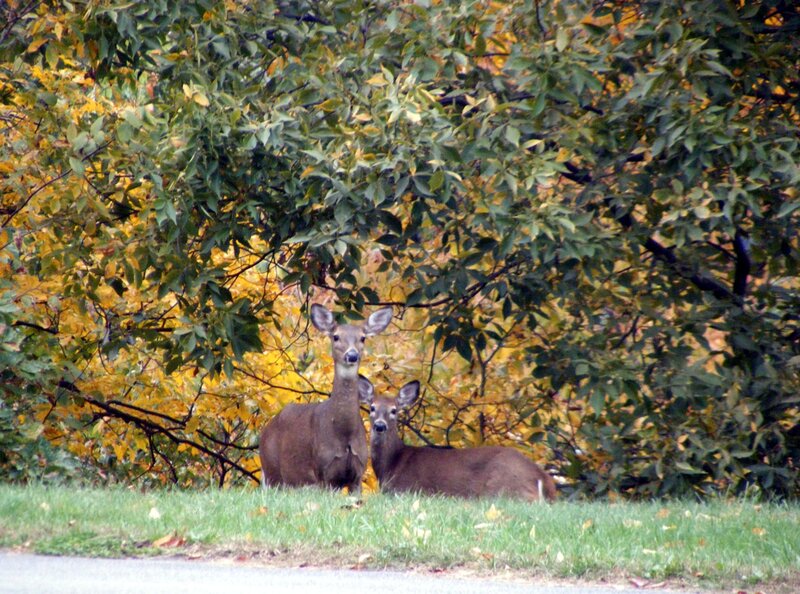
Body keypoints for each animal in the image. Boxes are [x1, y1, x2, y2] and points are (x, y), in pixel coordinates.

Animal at [258, 303, 392, 495]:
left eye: (363, 338)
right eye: (336, 336)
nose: (352, 355)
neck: (343, 432)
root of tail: (265, 431)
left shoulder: (358, 473)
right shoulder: (323, 471)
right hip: (271, 470)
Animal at [359, 376, 557, 501]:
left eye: (394, 410)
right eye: (372, 408)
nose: (380, 426)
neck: (392, 464)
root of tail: (544, 479)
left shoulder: (406, 490)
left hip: (502, 486)